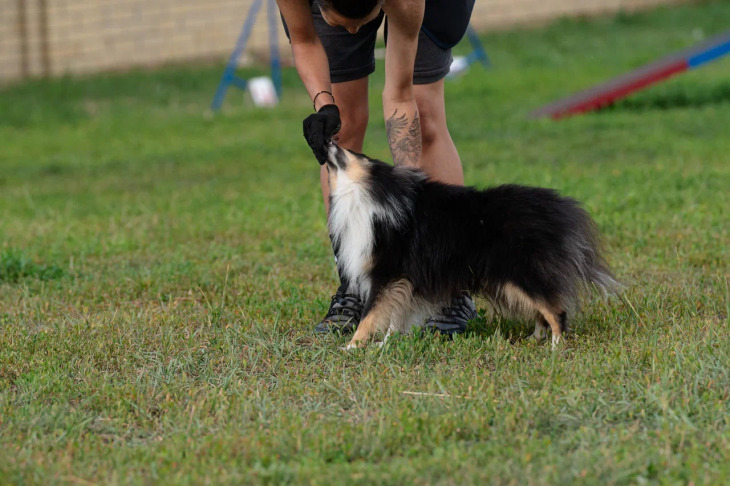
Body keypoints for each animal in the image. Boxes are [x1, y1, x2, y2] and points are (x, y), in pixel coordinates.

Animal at [322, 141, 616, 350]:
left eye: (354, 152)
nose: (329, 140)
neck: (369, 193)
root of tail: (560, 209)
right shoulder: (403, 280)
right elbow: (395, 313)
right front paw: (385, 343)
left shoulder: (387, 271)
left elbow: (371, 313)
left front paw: (352, 346)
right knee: (544, 308)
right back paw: (534, 339)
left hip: (521, 271)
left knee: (555, 309)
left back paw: (556, 346)